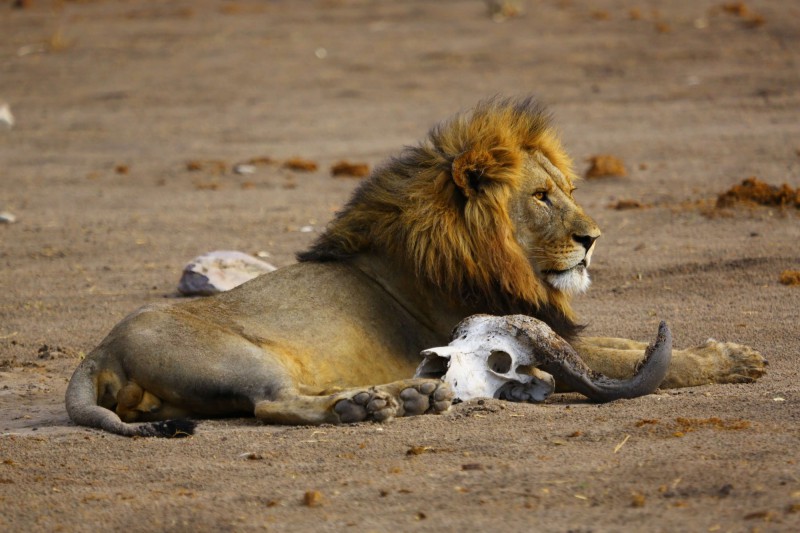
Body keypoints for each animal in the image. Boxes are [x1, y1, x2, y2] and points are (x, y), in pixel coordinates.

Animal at [65, 96, 764, 436]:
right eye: (541, 196)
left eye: (568, 189)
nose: (593, 238)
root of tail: (99, 350)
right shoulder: (497, 328)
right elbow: (630, 361)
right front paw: (735, 361)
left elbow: (627, 347)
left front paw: (732, 351)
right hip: (242, 358)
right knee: (273, 405)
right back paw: (376, 405)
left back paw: (406, 396)